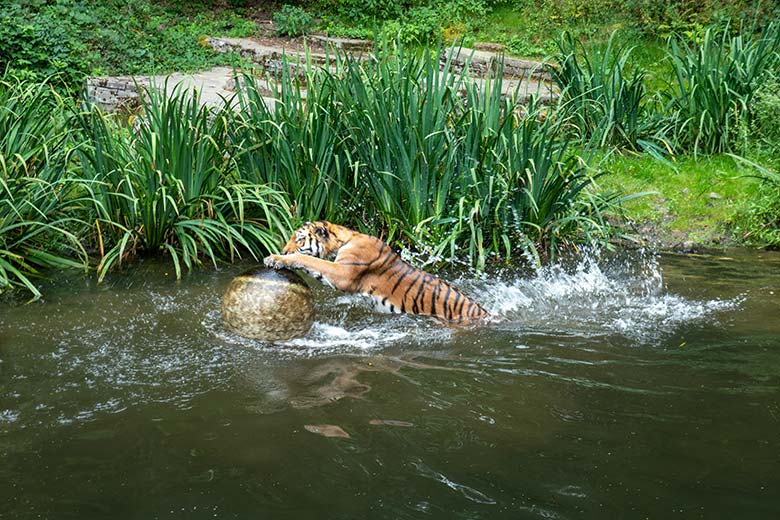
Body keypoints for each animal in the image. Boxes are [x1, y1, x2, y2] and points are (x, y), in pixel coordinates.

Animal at [266, 220, 490, 324]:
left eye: (299, 240)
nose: (284, 250)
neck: (345, 239)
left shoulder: (343, 273)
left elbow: (308, 259)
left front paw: (276, 258)